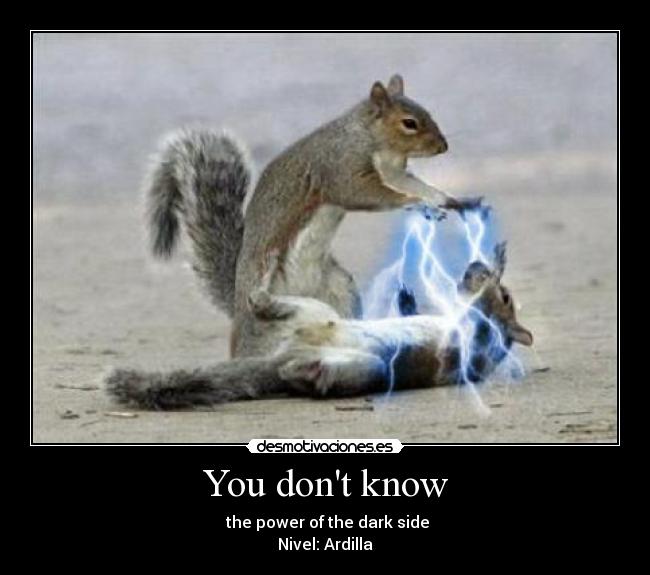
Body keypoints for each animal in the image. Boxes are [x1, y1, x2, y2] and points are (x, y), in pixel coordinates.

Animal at [106, 244, 533, 409]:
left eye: (508, 297)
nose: (475, 266)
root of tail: (282, 357)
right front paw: (407, 296)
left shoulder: (476, 344)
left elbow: (478, 320)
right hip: (313, 314)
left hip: (366, 365)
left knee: (315, 377)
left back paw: (308, 369)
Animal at [145, 74, 480, 358]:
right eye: (409, 123)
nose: (443, 146)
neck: (370, 138)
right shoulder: (341, 170)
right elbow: (372, 195)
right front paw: (421, 205)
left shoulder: (393, 171)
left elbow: (414, 184)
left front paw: (445, 198)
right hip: (261, 274)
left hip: (340, 288)